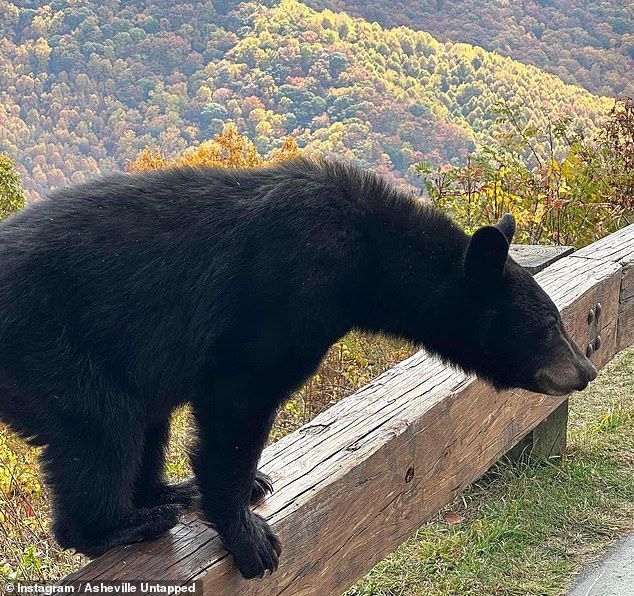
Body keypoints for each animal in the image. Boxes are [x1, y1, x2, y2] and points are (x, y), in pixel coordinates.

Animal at [0, 157, 592, 576]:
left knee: (145, 421)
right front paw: (249, 535)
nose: (585, 369)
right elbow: (239, 397)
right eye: (548, 326)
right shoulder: (288, 289)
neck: (367, 258)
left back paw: (166, 492)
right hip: (51, 348)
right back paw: (123, 525)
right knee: (103, 427)